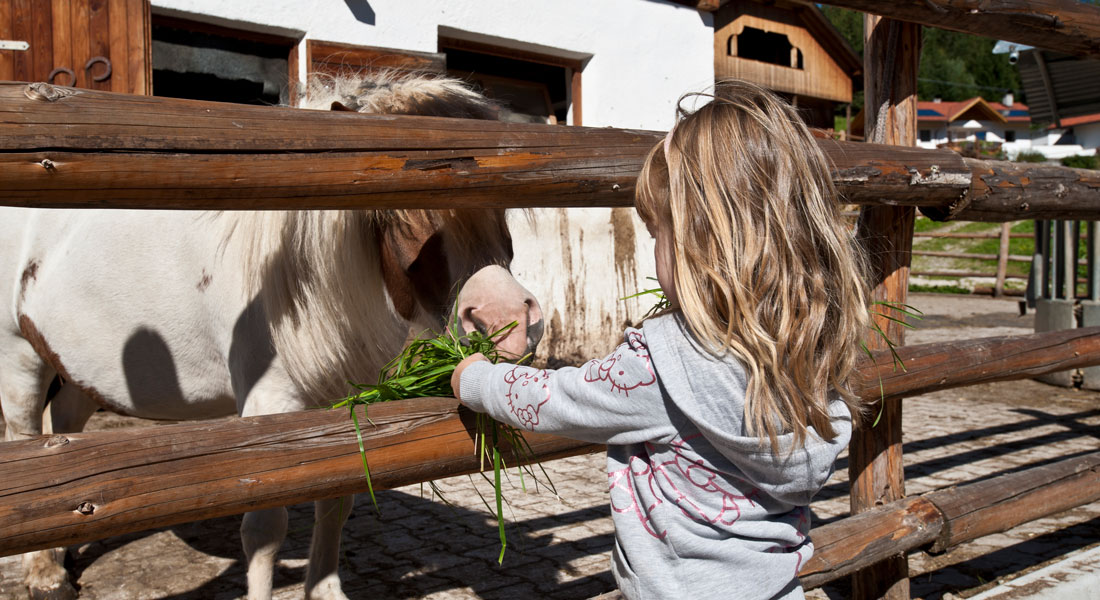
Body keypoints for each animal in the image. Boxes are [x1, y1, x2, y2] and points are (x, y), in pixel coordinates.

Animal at [0, 72, 543, 598]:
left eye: (503, 206)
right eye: (398, 209)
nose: (506, 321)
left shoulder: (341, 404)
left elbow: (336, 499)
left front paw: (324, 590)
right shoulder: (269, 410)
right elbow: (264, 529)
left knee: (65, 430)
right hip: (20, 356)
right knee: (29, 435)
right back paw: (44, 575)